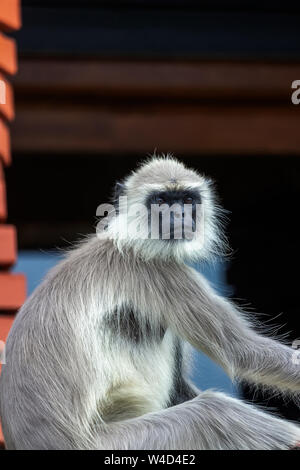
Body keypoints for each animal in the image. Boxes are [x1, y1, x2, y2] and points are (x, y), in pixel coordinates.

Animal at [0, 156, 300, 450]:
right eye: (161, 201)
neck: (129, 241)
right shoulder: (159, 270)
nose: (179, 215)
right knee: (214, 414)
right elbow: (241, 352)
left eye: (187, 200)